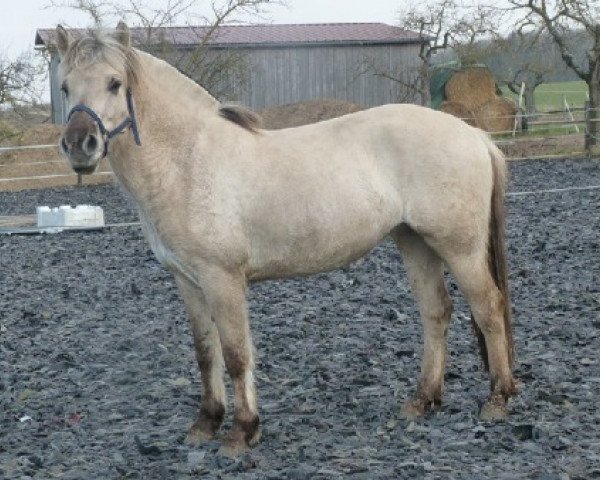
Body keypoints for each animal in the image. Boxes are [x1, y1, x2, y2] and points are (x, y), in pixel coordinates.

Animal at [54, 22, 516, 456]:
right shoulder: (188, 281)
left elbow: (236, 354)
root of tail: (473, 134)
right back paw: (423, 400)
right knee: (436, 313)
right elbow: (206, 352)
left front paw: (242, 432)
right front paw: (205, 424)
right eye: (64, 86)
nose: (80, 145)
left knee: (488, 309)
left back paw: (498, 399)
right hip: (415, 242)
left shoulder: (222, 279)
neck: (187, 161)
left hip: (459, 247)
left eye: (115, 83)